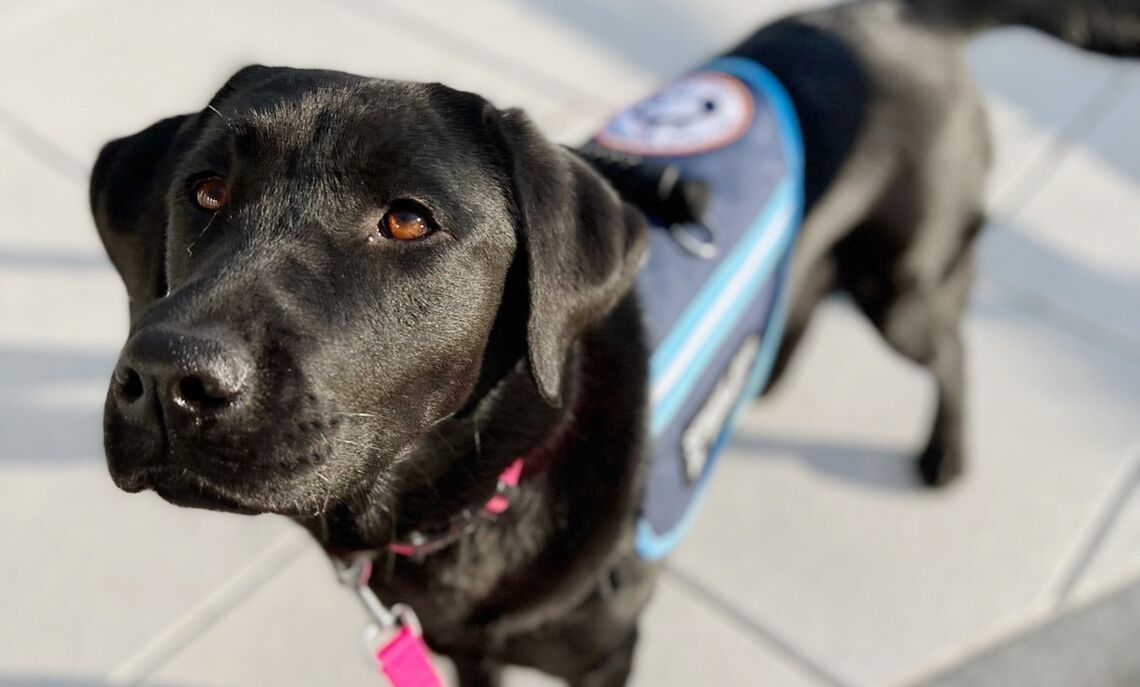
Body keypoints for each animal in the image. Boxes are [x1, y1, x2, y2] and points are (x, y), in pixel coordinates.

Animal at [91, 0, 1140, 683]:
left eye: (407, 220)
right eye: (205, 192)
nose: (167, 376)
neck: (473, 498)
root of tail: (903, 19)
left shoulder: (608, 653)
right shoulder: (464, 648)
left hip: (906, 284)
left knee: (952, 343)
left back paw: (944, 455)